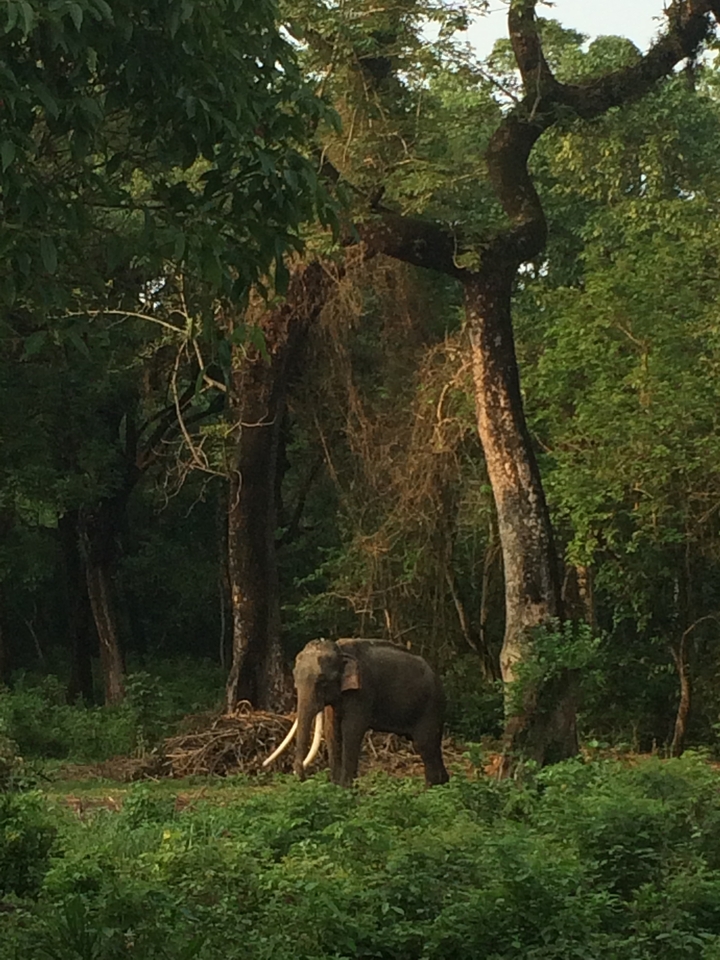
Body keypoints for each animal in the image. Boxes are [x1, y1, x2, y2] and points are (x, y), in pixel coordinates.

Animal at [263, 638, 449, 787]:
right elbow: (332, 731)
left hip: (430, 706)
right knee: (430, 746)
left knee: (425, 744)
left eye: (322, 681)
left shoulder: (362, 691)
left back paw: (432, 789)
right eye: (295, 676)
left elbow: (351, 730)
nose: (300, 775)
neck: (340, 650)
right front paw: (335, 788)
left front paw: (345, 789)